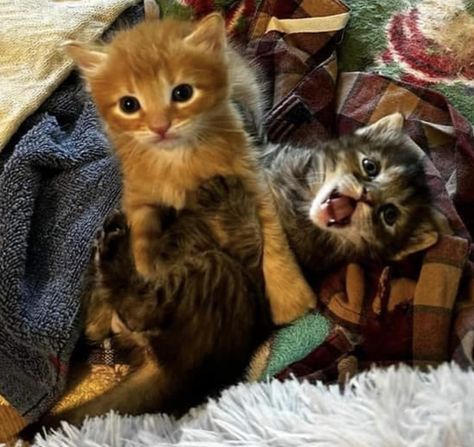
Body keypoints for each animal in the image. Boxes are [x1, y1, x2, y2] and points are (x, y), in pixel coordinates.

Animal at [47, 175, 274, 428]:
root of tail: (178, 373)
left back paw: (112, 247)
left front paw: (224, 193)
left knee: (131, 311)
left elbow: (248, 228)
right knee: (97, 324)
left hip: (217, 271)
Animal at [64, 7, 314, 326]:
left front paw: (290, 295)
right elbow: (140, 236)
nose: (160, 127)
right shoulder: (136, 195)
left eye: (182, 93)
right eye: (129, 104)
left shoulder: (251, 177)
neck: (178, 158)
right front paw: (147, 270)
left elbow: (273, 236)